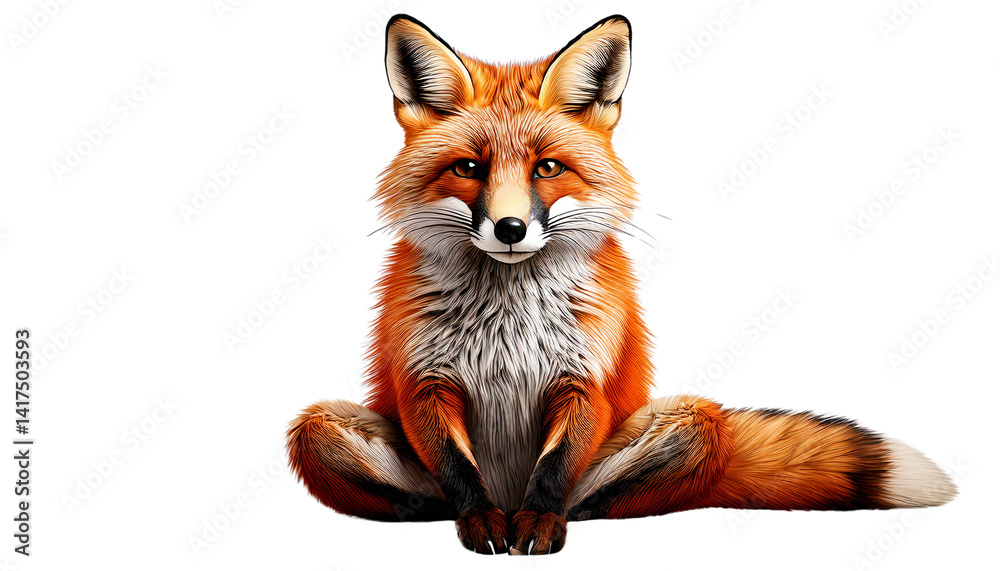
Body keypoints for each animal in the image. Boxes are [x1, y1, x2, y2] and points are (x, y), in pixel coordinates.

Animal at [286, 14, 957, 555]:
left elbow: (555, 468)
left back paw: (560, 514)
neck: (507, 319)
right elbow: (457, 468)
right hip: (315, 430)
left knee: (608, 495)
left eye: (547, 168)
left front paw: (537, 527)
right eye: (469, 168)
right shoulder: (424, 382)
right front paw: (480, 523)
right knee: (409, 485)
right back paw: (448, 512)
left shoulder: (584, 380)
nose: (510, 228)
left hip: (691, 425)